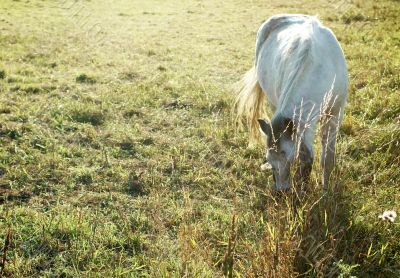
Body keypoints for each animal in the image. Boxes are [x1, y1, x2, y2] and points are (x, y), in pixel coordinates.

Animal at [236, 14, 348, 190]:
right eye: (269, 158)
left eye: (285, 154)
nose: (281, 190)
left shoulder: (335, 114)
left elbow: (327, 159)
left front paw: (326, 189)